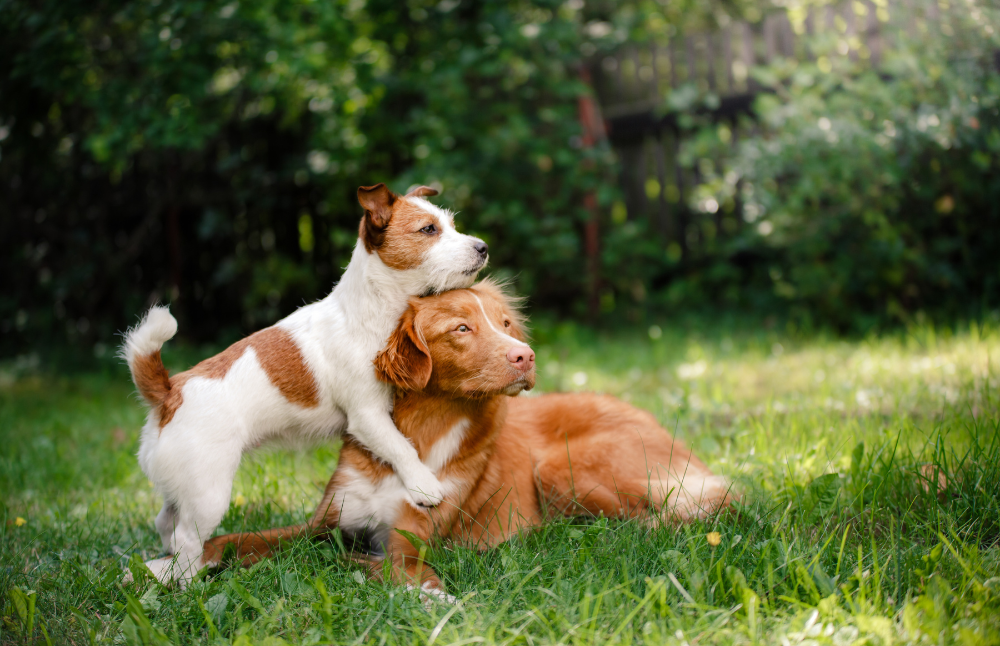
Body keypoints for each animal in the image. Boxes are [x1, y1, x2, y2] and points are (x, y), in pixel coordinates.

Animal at [121, 184, 488, 588]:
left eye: (451, 225)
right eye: (428, 230)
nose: (483, 246)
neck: (371, 310)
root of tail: (169, 392)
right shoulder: (367, 415)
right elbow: (400, 447)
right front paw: (424, 485)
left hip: (182, 488)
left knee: (166, 523)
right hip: (208, 494)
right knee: (186, 539)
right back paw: (188, 586)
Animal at [205, 280, 736, 600]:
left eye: (504, 324)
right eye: (462, 328)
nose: (526, 356)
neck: (419, 436)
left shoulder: (408, 543)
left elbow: (375, 564)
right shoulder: (326, 521)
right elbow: (240, 538)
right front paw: (190, 563)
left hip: (560, 468)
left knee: (664, 518)